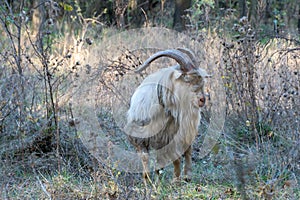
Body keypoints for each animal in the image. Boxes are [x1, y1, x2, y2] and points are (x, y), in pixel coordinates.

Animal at [124, 47, 209, 182]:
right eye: (187, 80)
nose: (202, 100)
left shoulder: (171, 138)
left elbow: (175, 159)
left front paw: (174, 180)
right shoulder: (141, 138)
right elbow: (146, 158)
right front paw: (148, 181)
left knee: (187, 150)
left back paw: (186, 176)